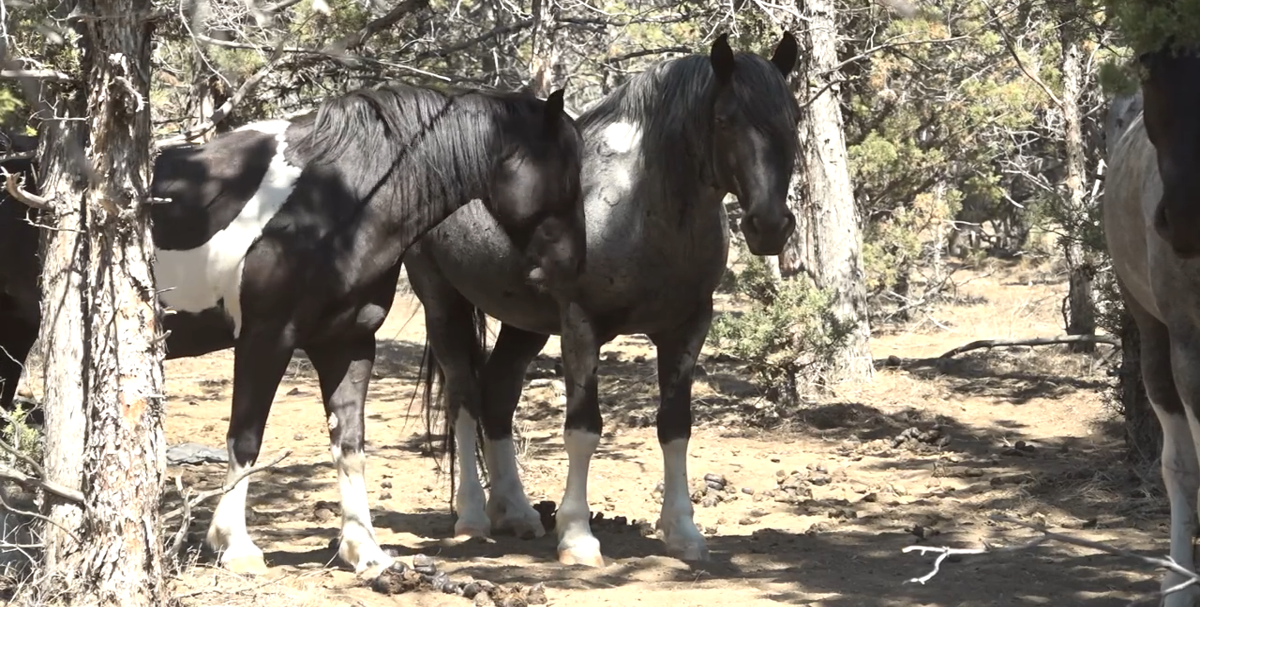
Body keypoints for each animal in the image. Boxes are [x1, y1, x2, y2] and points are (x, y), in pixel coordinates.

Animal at [0, 83, 586, 576]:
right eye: (566, 171)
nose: (569, 267)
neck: (339, 204)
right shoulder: (267, 337)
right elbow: (246, 437)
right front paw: (235, 546)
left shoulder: (348, 344)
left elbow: (350, 441)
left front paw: (365, 551)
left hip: (17, 330)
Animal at [403, 32, 801, 567]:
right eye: (724, 120)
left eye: (794, 117)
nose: (770, 226)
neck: (639, 204)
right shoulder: (580, 324)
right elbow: (583, 429)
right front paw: (577, 536)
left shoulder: (687, 328)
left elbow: (675, 426)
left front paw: (684, 532)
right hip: (441, 302)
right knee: (464, 398)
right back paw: (471, 518)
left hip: (523, 324)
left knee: (498, 394)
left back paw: (517, 512)